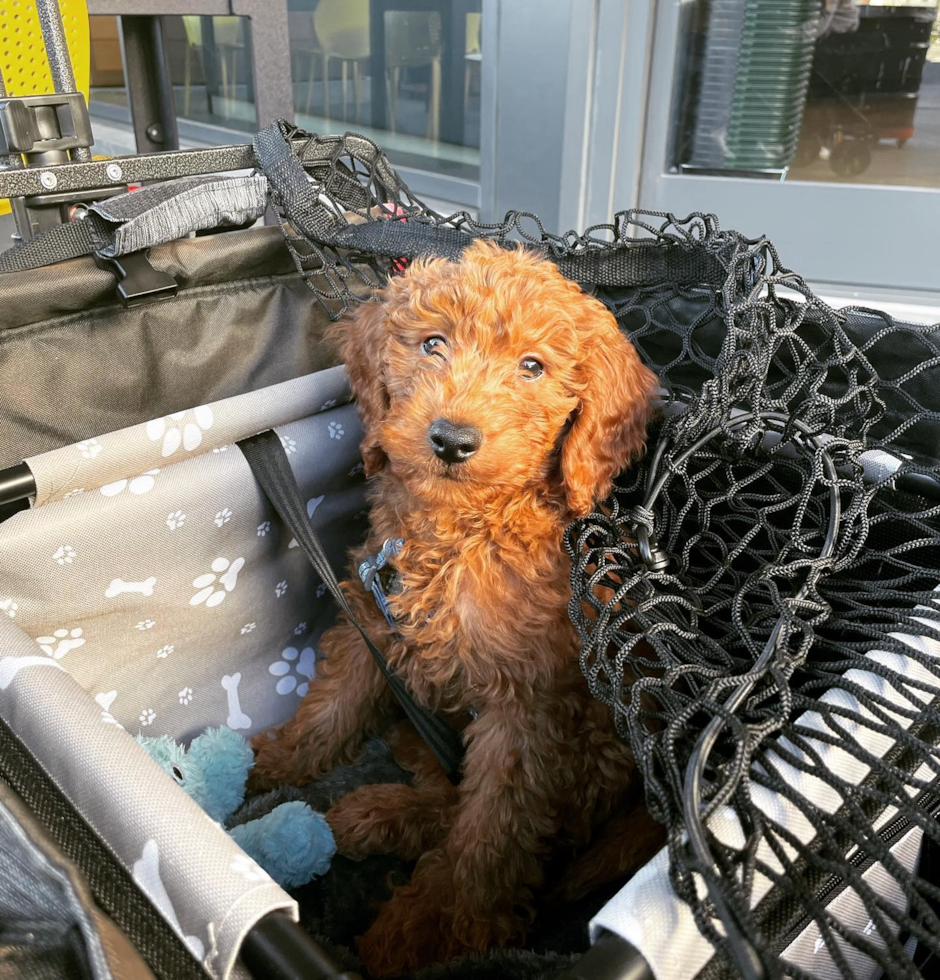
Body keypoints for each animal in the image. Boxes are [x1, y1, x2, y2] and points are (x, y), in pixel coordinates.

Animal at [252, 241, 660, 976]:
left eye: (533, 366)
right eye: (433, 344)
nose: (451, 439)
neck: (462, 528)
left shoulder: (525, 704)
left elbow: (492, 831)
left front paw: (446, 925)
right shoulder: (374, 624)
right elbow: (328, 712)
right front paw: (272, 769)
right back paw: (381, 806)